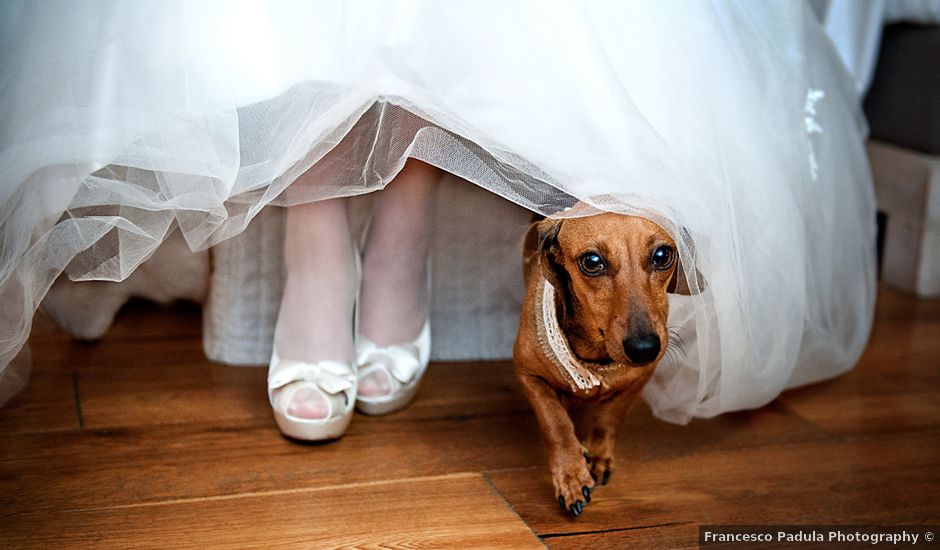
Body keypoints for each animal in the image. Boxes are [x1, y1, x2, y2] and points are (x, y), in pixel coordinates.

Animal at [516, 213, 692, 520]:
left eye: (662, 255)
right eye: (592, 261)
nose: (645, 348)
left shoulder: (639, 380)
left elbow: (610, 417)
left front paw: (598, 458)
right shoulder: (528, 374)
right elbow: (555, 422)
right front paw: (571, 475)